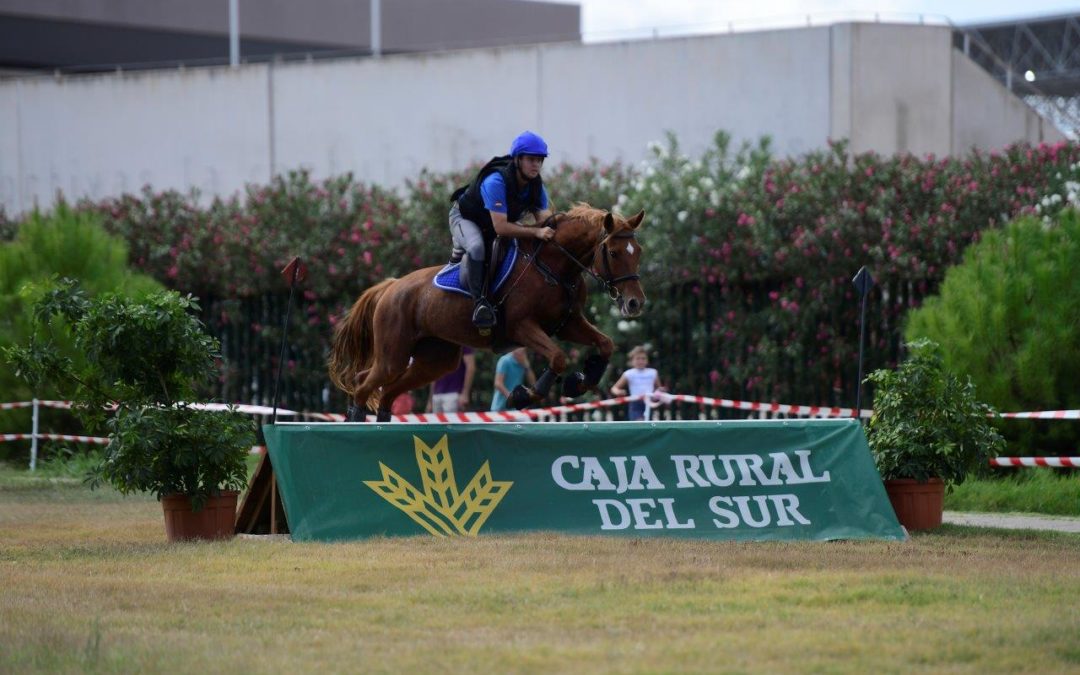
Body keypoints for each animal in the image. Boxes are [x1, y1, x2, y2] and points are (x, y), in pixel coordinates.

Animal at [328, 203, 643, 419]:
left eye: (637, 251)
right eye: (613, 253)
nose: (635, 303)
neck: (553, 266)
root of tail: (391, 286)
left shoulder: (569, 323)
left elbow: (605, 344)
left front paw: (579, 383)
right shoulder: (522, 326)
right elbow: (557, 357)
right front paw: (523, 396)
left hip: (435, 360)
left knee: (386, 392)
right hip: (394, 355)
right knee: (363, 382)